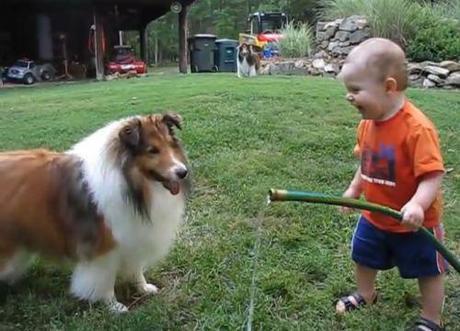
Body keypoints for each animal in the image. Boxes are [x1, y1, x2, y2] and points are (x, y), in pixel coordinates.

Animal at [0, 113, 189, 312]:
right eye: (152, 150)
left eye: (170, 145)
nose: (182, 172)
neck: (131, 184)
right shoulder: (104, 249)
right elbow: (104, 280)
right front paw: (114, 306)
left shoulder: (134, 236)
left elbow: (136, 269)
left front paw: (144, 288)